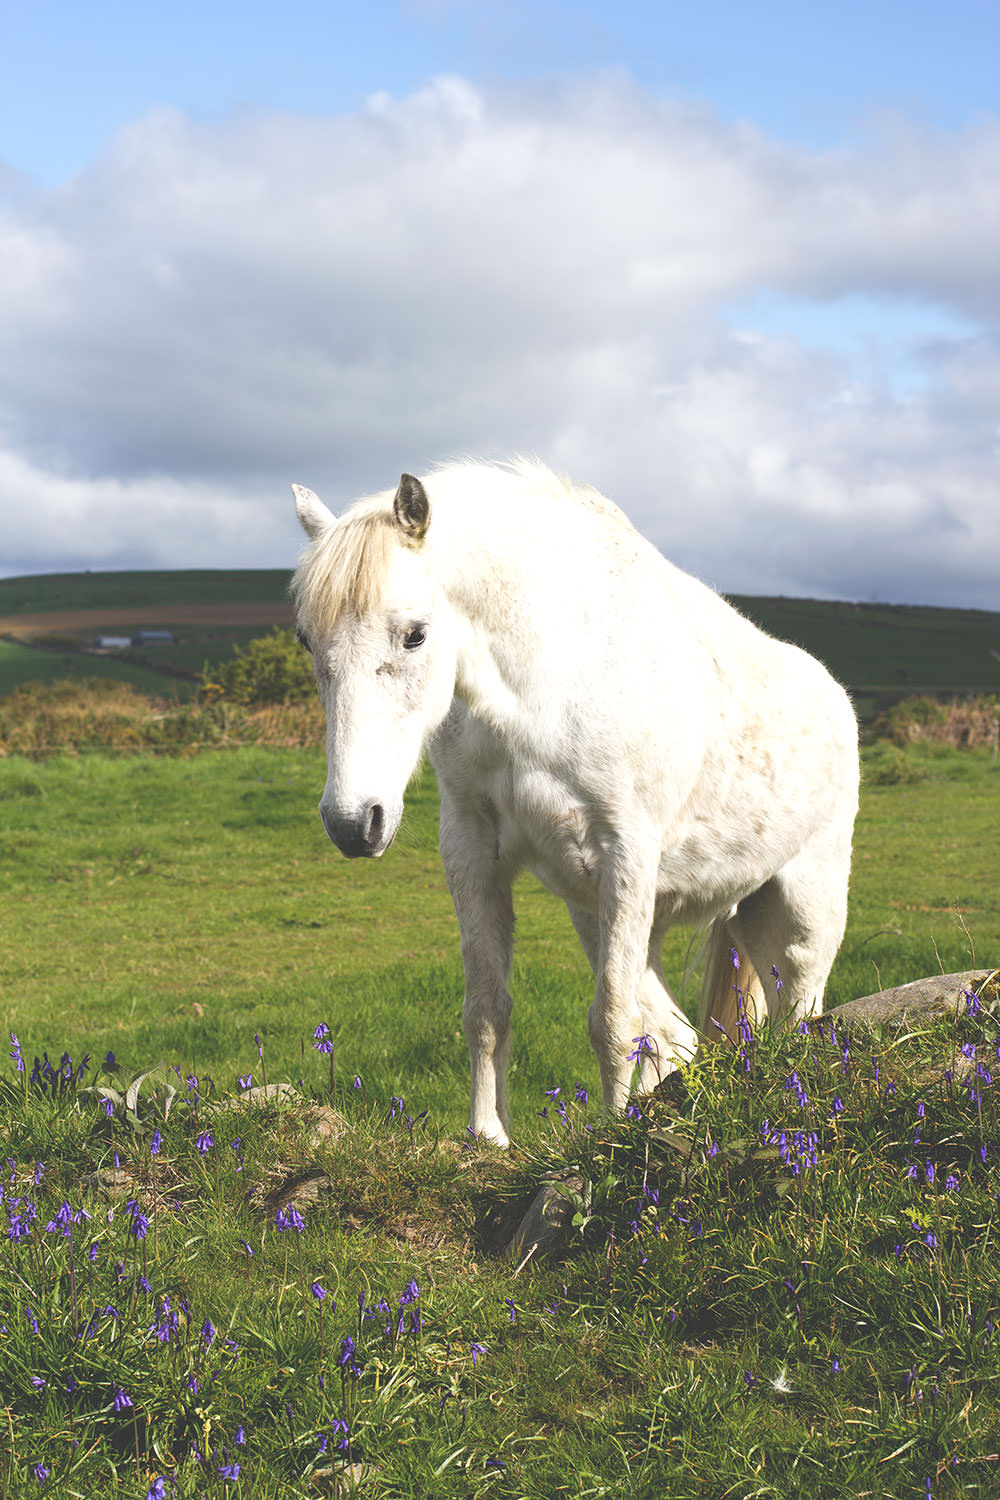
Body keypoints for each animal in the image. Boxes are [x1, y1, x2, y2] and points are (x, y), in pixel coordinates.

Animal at [290, 462, 863, 1140]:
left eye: (414, 635)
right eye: (307, 640)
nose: (353, 823)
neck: (551, 678)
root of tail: (835, 697)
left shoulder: (626, 853)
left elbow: (612, 1020)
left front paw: (614, 1135)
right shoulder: (473, 849)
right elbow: (488, 1009)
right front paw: (488, 1137)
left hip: (800, 910)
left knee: (797, 1015)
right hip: (625, 916)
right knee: (676, 1036)